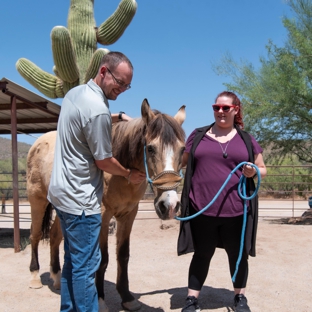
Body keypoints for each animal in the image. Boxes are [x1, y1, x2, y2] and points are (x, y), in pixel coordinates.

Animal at [26, 98, 185, 310]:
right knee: (34, 235)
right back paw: (35, 277)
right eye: (150, 148)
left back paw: (58, 279)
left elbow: (123, 255)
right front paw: (100, 300)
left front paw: (127, 298)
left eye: (182, 149)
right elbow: (102, 259)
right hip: (37, 200)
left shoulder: (128, 215)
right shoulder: (102, 215)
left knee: (53, 237)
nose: (170, 205)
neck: (120, 169)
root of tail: (38, 143)